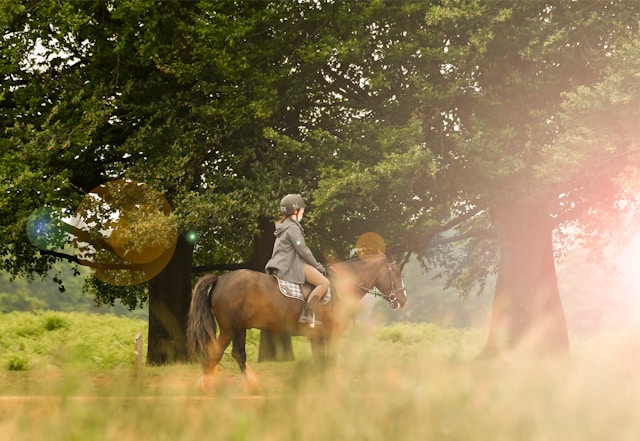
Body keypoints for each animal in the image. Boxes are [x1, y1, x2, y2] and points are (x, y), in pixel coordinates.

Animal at [186, 251, 404, 392]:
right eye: (396, 273)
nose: (403, 300)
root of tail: (221, 279)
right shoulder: (332, 334)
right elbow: (330, 361)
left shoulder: (317, 337)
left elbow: (320, 361)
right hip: (229, 329)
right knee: (214, 354)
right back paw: (205, 387)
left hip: (239, 328)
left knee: (238, 354)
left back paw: (253, 387)